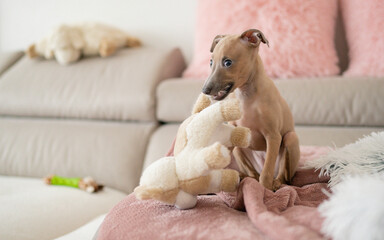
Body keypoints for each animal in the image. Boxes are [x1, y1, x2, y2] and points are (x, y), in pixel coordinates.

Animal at [201, 28, 300, 189]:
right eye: (211, 62)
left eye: (227, 62)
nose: (205, 90)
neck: (246, 96)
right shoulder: (234, 132)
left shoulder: (273, 136)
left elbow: (266, 173)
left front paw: (265, 190)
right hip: (239, 150)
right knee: (253, 175)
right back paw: (243, 177)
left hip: (290, 139)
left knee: (282, 176)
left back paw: (276, 183)